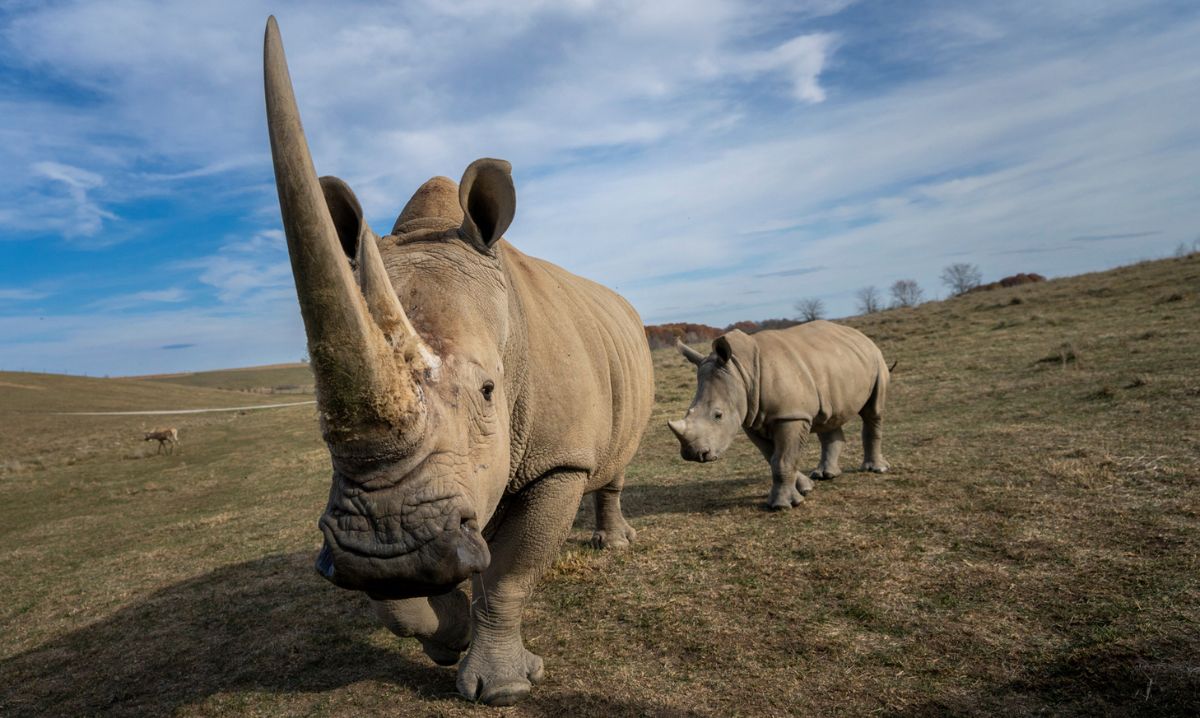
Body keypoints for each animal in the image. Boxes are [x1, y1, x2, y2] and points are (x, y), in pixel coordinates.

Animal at [263, 17, 653, 705]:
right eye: (317, 418)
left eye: (490, 391)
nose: (385, 545)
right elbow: (400, 602)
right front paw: (443, 635)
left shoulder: (559, 459)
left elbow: (510, 573)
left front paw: (502, 689)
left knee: (614, 456)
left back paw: (613, 545)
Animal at [668, 321, 891, 510]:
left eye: (718, 415)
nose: (693, 454)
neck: (742, 370)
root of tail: (859, 334)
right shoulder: (752, 419)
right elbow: (772, 457)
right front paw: (806, 488)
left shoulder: (790, 415)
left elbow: (782, 459)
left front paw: (782, 505)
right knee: (828, 419)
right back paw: (825, 475)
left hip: (875, 358)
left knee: (873, 412)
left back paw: (876, 469)